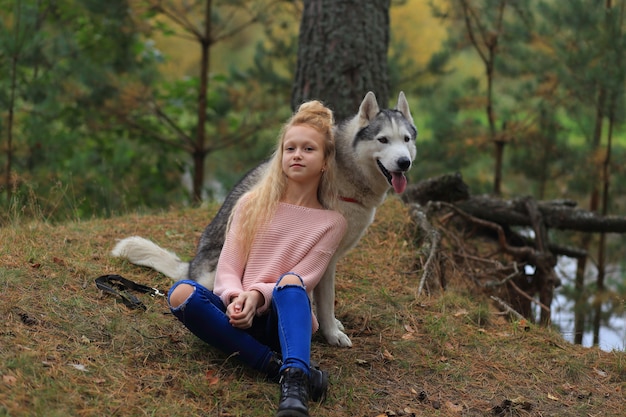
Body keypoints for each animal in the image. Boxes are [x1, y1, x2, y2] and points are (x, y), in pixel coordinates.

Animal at [112, 92, 414, 348]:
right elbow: (325, 301)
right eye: (383, 139)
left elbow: (320, 299)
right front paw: (331, 333)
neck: (346, 173)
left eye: (406, 139)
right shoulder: (327, 259)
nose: (404, 162)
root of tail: (190, 266)